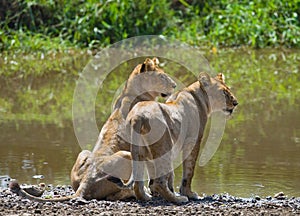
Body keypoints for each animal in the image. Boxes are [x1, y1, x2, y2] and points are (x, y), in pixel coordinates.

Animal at [10, 57, 177, 202]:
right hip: (126, 154)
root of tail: (86, 182)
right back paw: (133, 193)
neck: (131, 91)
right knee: (115, 194)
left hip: (84, 153)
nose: (175, 85)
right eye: (162, 77)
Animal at [125, 71, 238, 203]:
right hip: (165, 145)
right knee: (159, 182)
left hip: (140, 151)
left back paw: (146, 197)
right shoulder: (193, 141)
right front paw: (189, 193)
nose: (236, 103)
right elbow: (189, 171)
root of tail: (137, 116)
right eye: (223, 92)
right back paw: (178, 199)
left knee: (138, 183)